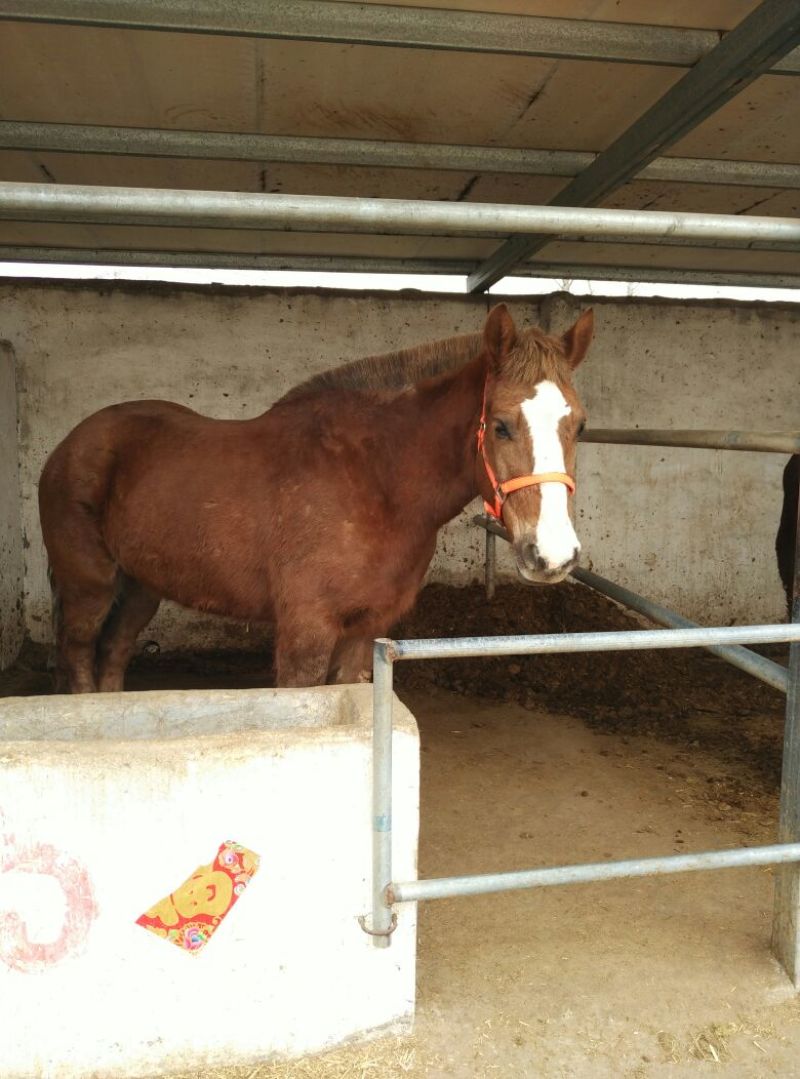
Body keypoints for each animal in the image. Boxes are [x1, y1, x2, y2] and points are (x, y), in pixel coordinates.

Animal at [38, 303, 593, 693]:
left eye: (581, 426)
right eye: (500, 425)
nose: (552, 555)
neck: (375, 480)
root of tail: (69, 445)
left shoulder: (366, 630)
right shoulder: (307, 630)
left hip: (141, 586)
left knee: (113, 656)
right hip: (89, 587)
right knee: (80, 660)